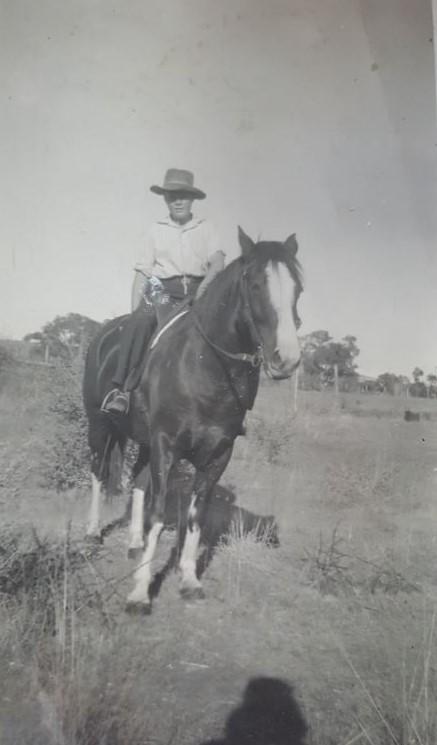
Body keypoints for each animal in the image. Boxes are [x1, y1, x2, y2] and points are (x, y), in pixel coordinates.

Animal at [83, 227, 304, 612]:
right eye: (255, 285)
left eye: (298, 289)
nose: (287, 359)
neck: (206, 366)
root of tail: (104, 335)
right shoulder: (166, 444)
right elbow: (160, 512)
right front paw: (140, 593)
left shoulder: (219, 453)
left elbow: (196, 515)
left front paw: (188, 579)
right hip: (100, 425)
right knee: (98, 471)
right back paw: (94, 532)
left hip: (143, 440)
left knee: (138, 482)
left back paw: (135, 544)